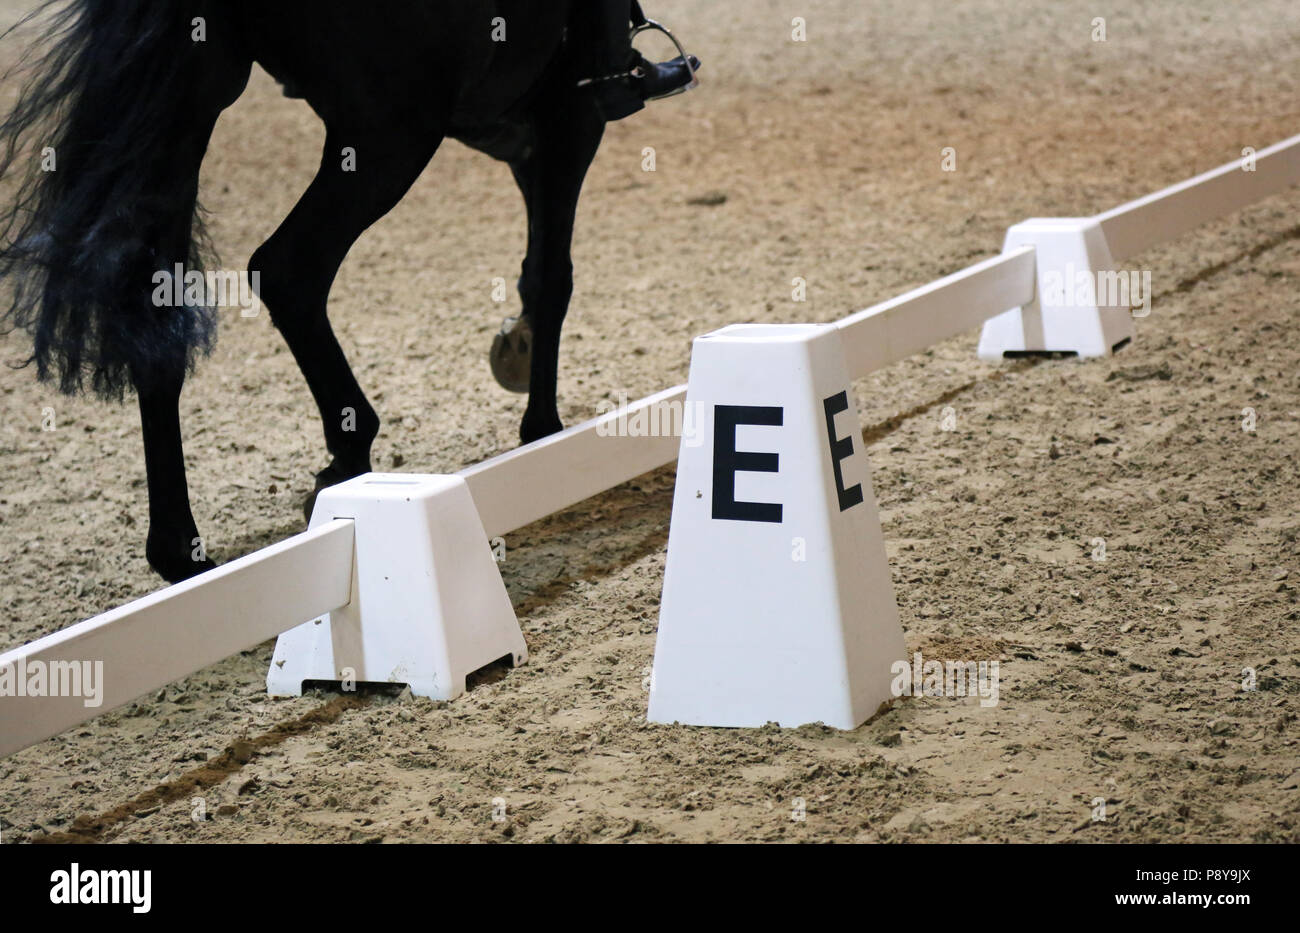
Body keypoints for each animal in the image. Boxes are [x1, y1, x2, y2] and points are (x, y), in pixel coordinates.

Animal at [0, 1, 686, 584]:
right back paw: (348, 451)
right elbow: (551, 274)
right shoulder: (573, 117)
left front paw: (516, 357)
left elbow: (531, 267)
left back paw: (181, 551)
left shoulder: (521, 138)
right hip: (389, 135)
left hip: (198, 103)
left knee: (157, 314)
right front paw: (544, 432)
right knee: (289, 271)